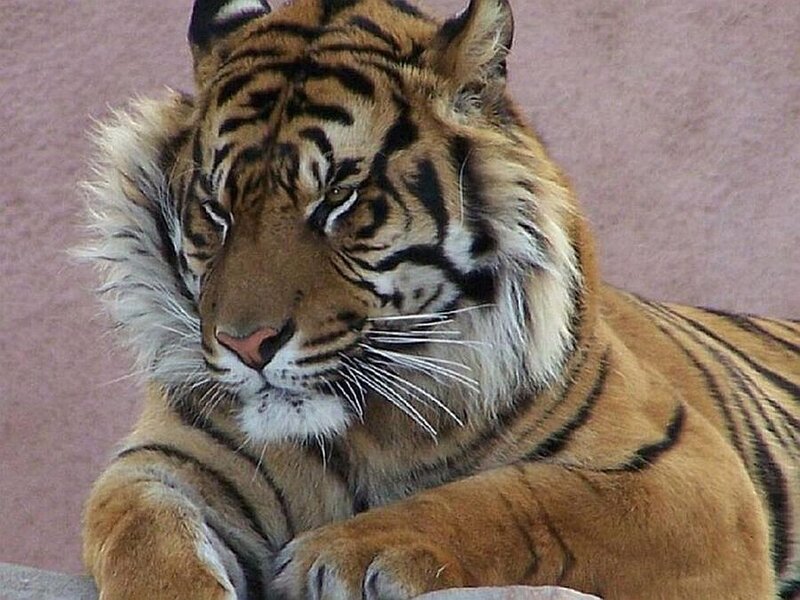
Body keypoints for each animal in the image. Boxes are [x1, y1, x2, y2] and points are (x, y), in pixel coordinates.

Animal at [79, 0, 799, 598]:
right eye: (217, 210)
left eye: (338, 200)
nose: (245, 344)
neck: (359, 434)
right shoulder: (164, 462)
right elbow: (141, 533)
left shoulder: (692, 481)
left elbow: (518, 498)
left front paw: (335, 554)